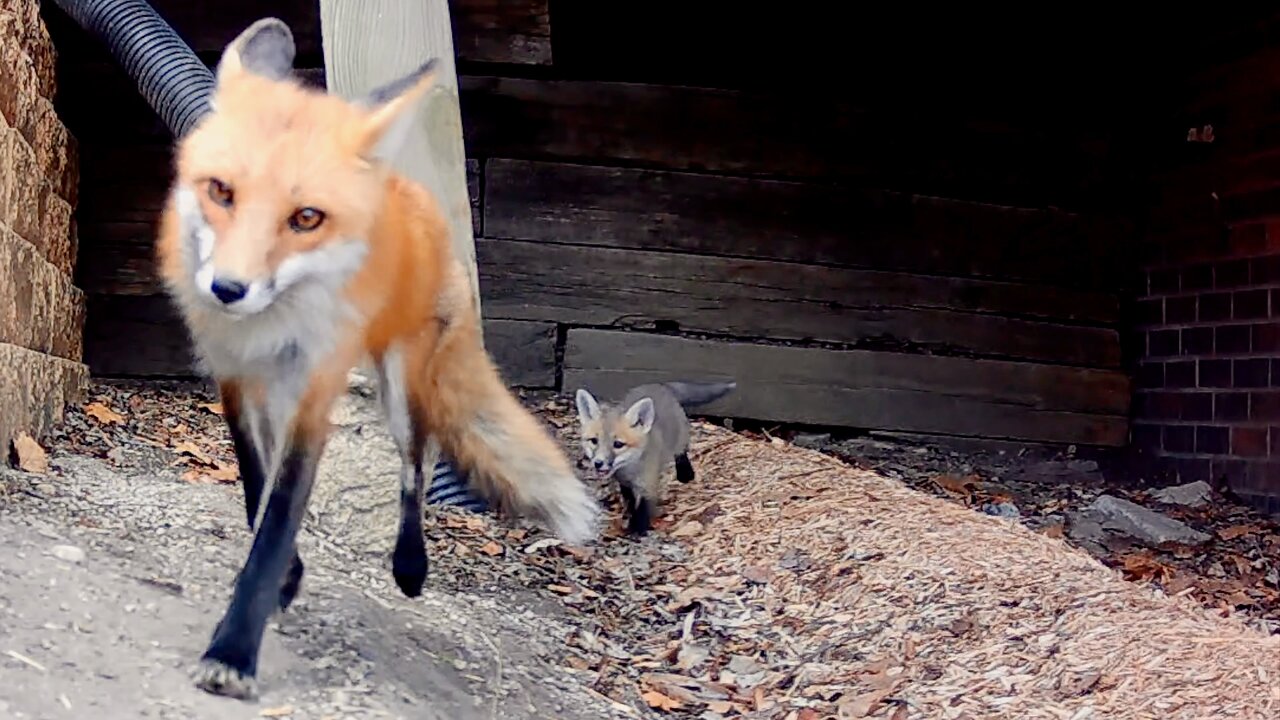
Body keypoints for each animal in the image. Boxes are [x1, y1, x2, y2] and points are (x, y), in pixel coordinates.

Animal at [154, 19, 599, 696]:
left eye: (306, 218)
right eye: (220, 191)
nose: (227, 289)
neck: (269, 329)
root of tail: (411, 192)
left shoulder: (313, 396)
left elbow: (278, 521)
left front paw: (234, 650)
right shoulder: (234, 378)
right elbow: (256, 485)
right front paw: (284, 579)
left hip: (401, 389)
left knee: (417, 468)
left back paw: (411, 564)